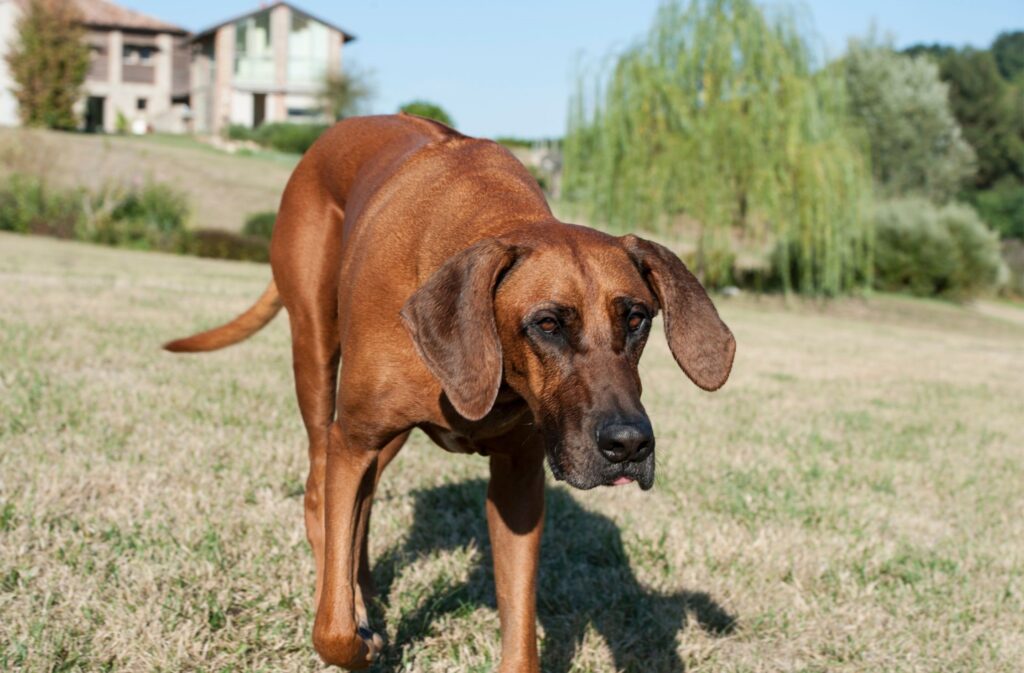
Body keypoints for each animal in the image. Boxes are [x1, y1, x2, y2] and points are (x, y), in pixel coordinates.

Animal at [163, 112, 733, 667]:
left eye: (637, 318)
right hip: (316, 354)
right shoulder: (353, 441)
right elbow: (333, 629)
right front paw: (357, 631)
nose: (630, 445)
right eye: (548, 324)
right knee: (318, 492)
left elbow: (519, 633)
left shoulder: (518, 479)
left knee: (361, 507)